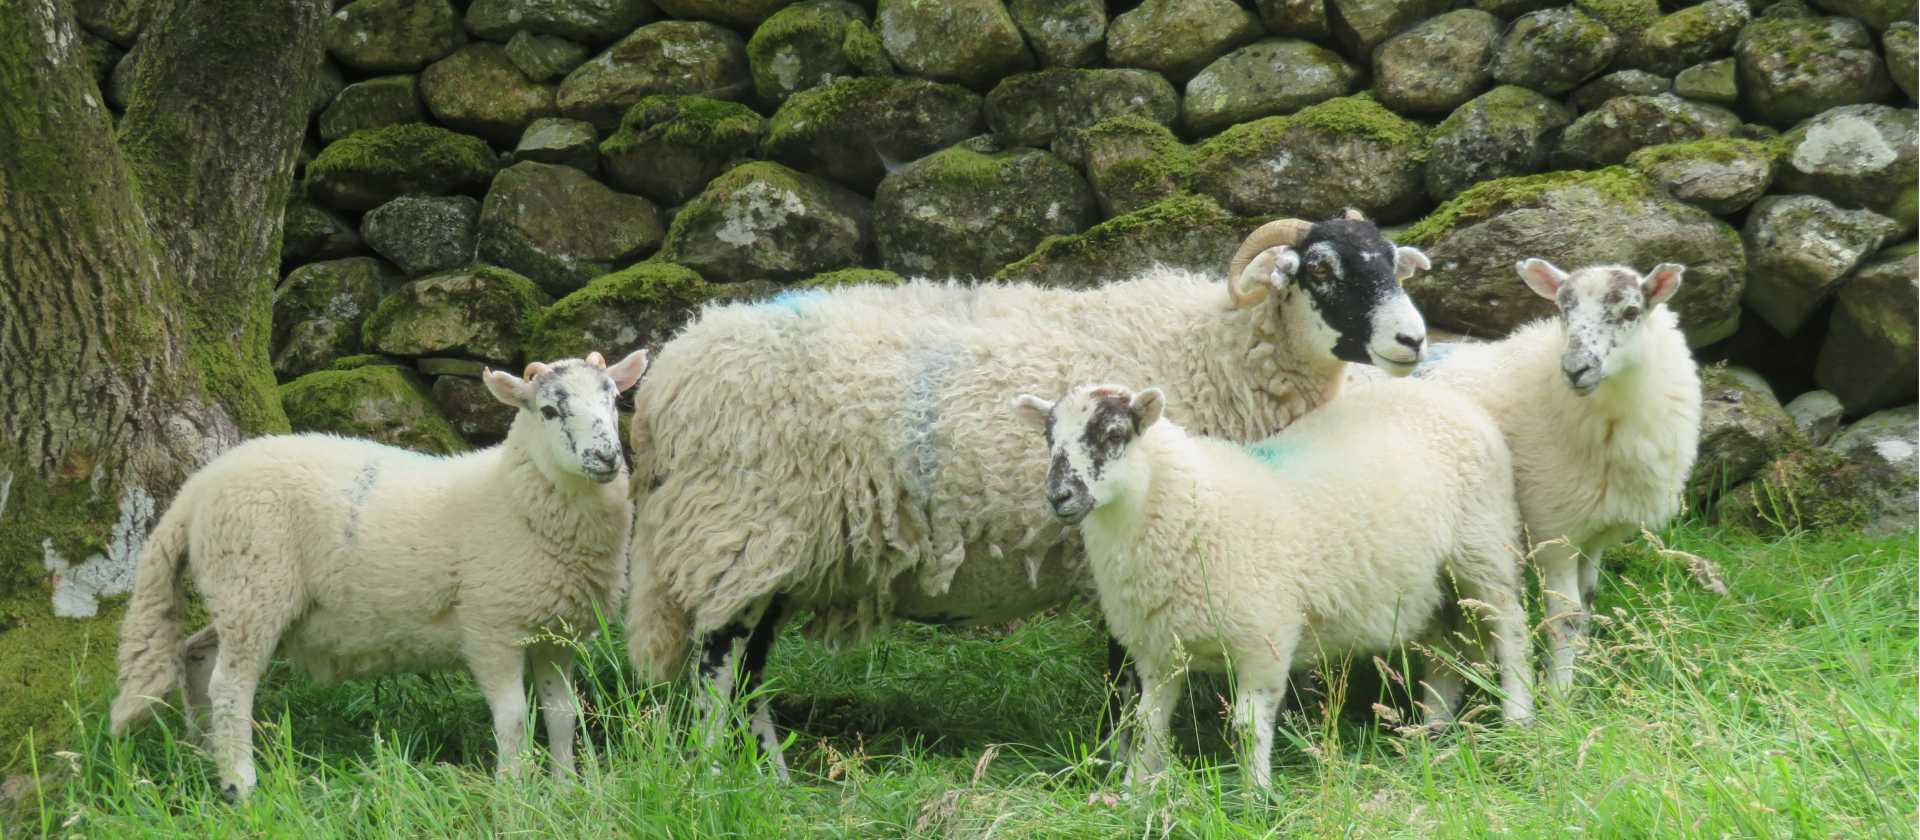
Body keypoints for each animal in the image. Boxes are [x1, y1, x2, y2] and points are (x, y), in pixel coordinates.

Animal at [109, 350, 650, 800]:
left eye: (614, 400)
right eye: (550, 411)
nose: (606, 457)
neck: (514, 496)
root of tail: (196, 490)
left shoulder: (556, 634)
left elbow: (563, 716)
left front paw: (567, 788)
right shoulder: (491, 627)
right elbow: (514, 719)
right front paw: (514, 793)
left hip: (241, 593)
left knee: (196, 656)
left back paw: (205, 757)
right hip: (253, 585)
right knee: (230, 686)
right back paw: (241, 784)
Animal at [626, 212, 1435, 775]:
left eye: (1395, 267)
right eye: (1322, 270)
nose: (1413, 342)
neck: (1220, 350)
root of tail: (668, 380)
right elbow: (1124, 671)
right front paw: (1117, 759)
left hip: (775, 551)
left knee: (750, 671)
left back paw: (771, 775)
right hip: (738, 528)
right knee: (717, 665)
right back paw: (716, 774)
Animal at [1010, 380, 1534, 791]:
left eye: (1115, 435)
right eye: (1048, 439)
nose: (1059, 496)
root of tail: (1447, 396)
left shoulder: (1264, 636)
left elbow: (1247, 727)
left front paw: (1256, 798)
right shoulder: (1159, 651)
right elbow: (1147, 725)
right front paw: (1136, 791)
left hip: (1483, 547)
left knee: (1511, 629)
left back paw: (1519, 718)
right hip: (1432, 584)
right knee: (1443, 651)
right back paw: (1432, 732)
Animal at [1417, 259, 1702, 690]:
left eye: (1631, 312)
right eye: (1563, 312)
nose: (1575, 369)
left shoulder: (1595, 532)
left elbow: (1587, 603)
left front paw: (1582, 674)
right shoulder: (1555, 531)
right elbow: (1565, 619)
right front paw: (1559, 692)